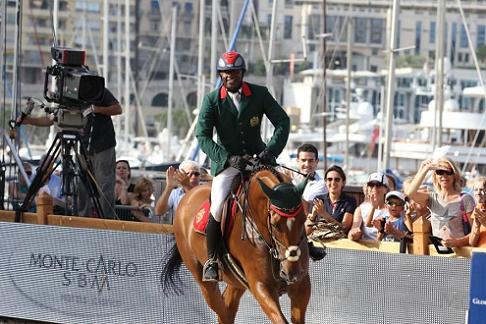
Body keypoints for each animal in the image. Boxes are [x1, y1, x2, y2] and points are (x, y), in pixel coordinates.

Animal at [161, 167, 310, 324]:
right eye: (276, 225)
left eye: (304, 219)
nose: (292, 274)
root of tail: (187, 196)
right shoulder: (261, 287)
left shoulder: (302, 285)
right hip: (203, 279)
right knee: (221, 310)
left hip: (236, 281)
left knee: (228, 308)